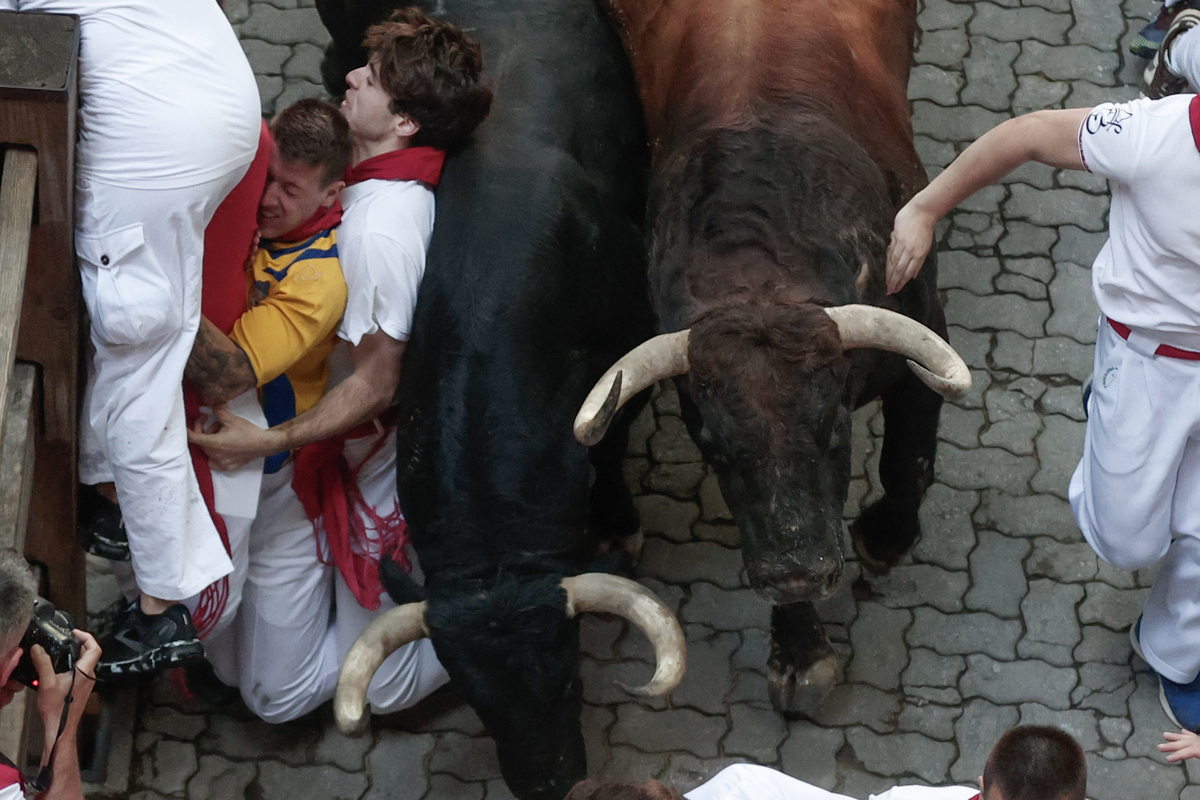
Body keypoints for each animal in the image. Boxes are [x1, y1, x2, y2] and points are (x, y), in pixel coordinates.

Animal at [312, 1, 676, 800]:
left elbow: (610, 448)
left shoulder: (634, 346)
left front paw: (619, 525)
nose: (550, 783)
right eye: (479, 703)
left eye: (567, 676)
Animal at [576, 0, 969, 714]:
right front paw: (802, 649)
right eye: (714, 445)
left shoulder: (921, 345)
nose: (798, 573)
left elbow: (909, 463)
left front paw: (884, 538)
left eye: (834, 429)